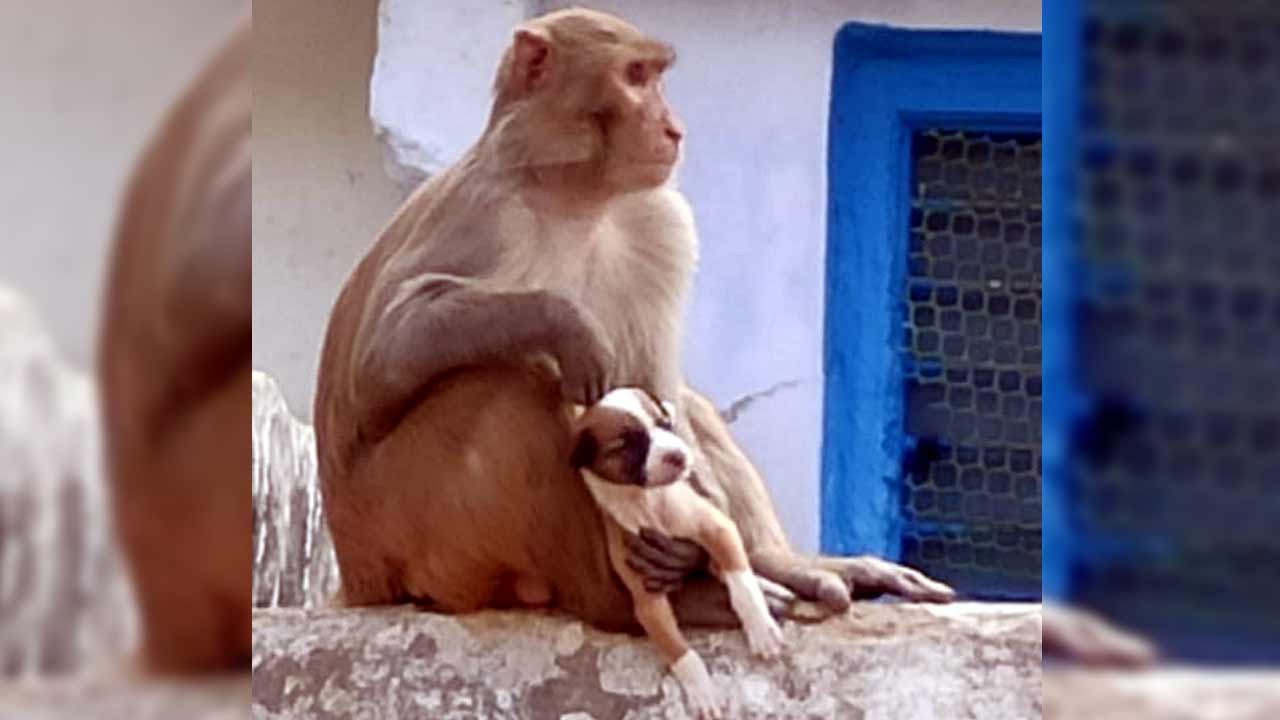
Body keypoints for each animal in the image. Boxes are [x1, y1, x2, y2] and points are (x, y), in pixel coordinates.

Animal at [314, 8, 953, 635]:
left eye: (655, 76)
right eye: (635, 77)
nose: (672, 127)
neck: (575, 197)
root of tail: (359, 576)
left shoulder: (658, 219)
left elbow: (655, 393)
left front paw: (701, 549)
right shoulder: (486, 213)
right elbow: (379, 360)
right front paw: (565, 322)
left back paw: (775, 564)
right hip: (412, 535)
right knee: (512, 392)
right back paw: (634, 604)